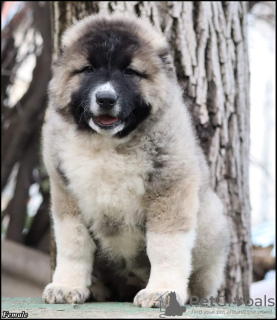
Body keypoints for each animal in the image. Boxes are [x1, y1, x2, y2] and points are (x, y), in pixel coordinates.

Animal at [42, 13, 229, 308]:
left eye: (130, 72)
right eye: (88, 70)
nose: (106, 98)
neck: (108, 144)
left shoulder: (170, 190)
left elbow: (165, 247)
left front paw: (162, 291)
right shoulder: (66, 194)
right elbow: (74, 244)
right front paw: (66, 286)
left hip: (211, 217)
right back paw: (97, 289)